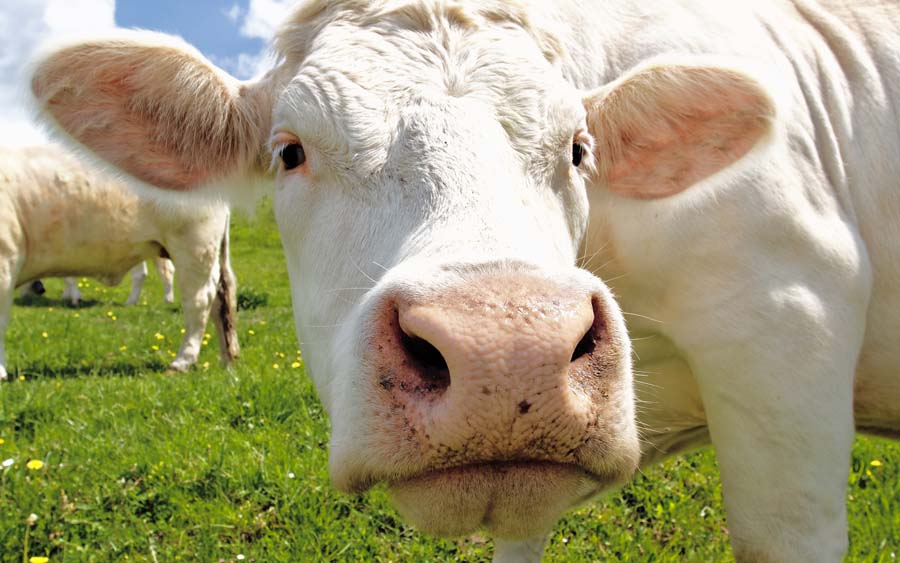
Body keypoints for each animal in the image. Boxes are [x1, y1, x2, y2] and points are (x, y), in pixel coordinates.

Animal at [0, 147, 239, 378]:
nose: (39, 288)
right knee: (221, 298)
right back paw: (227, 358)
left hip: (195, 247)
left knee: (199, 302)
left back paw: (182, 361)